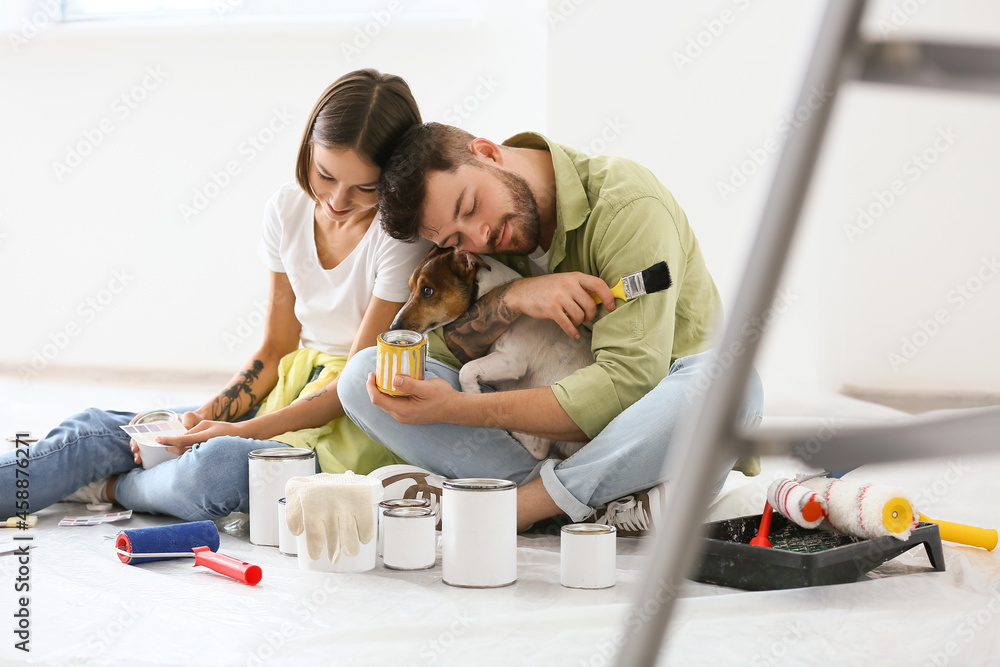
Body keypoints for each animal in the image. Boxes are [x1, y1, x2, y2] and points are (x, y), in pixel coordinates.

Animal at [390, 248, 592, 462]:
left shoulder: (511, 361)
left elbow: (466, 370)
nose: (393, 327)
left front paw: (472, 398)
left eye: (427, 291)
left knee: (539, 448)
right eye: (410, 288)